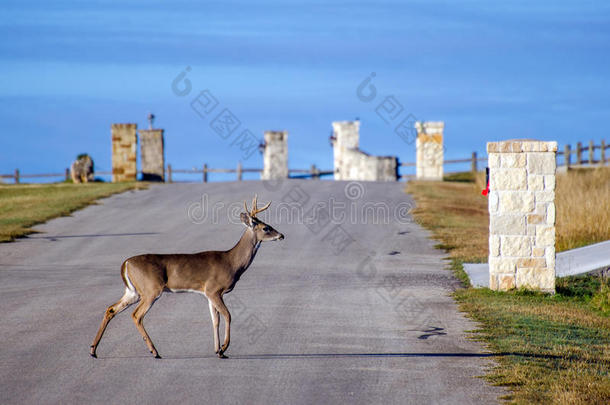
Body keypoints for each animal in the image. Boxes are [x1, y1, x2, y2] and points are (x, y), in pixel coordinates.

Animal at [89, 195, 284, 356]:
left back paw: (93, 350)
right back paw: (155, 351)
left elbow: (215, 320)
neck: (231, 262)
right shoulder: (214, 290)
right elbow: (228, 316)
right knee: (136, 315)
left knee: (111, 309)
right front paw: (224, 348)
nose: (282, 235)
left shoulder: (208, 294)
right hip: (151, 289)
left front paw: (218, 351)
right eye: (266, 228)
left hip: (133, 291)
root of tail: (126, 264)